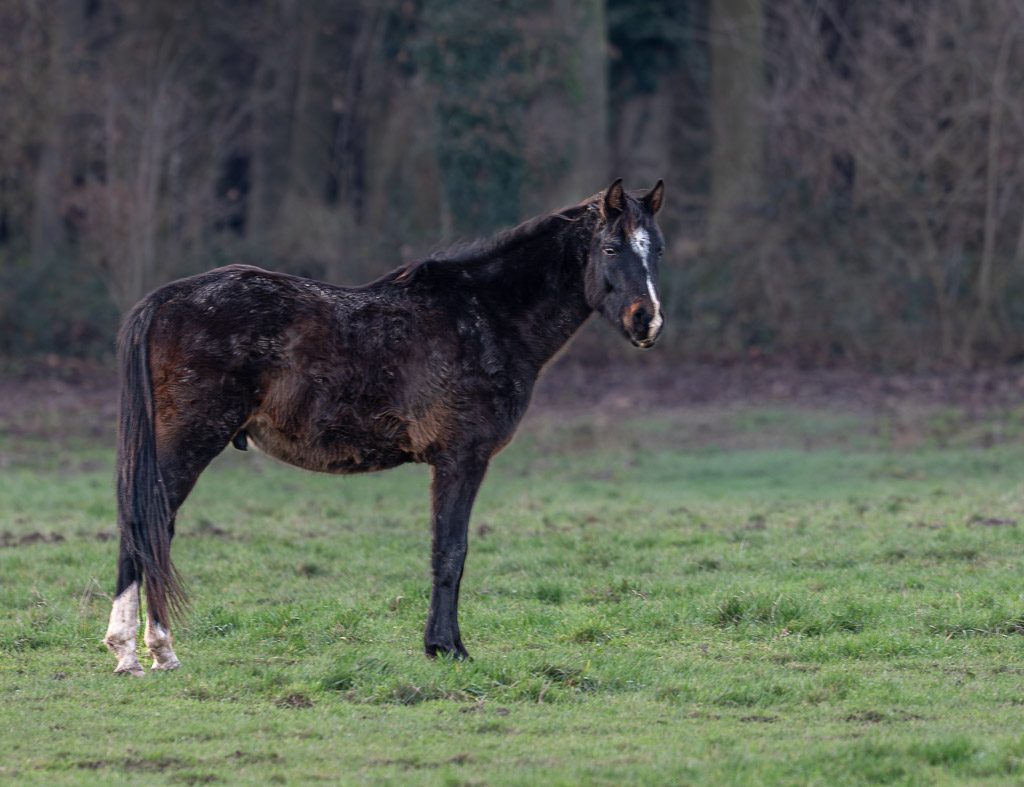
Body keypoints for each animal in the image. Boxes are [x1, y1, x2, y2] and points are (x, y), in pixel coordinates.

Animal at [104, 178, 666, 675]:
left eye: (656, 250)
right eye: (611, 247)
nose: (648, 322)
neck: (489, 315)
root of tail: (165, 300)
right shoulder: (461, 458)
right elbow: (451, 550)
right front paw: (448, 648)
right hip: (189, 441)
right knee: (146, 524)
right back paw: (140, 651)